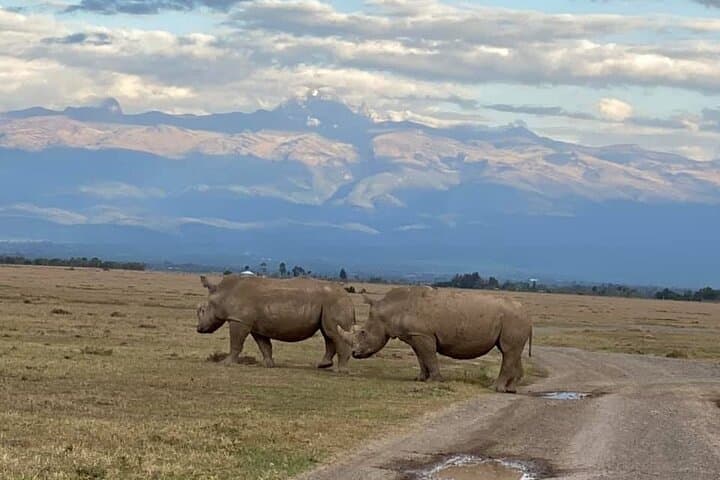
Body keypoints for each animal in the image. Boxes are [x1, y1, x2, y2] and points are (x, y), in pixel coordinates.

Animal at [196, 275, 355, 372]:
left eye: (203, 310)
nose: (199, 329)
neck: (223, 293)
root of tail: (347, 296)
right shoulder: (255, 326)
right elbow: (264, 345)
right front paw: (269, 365)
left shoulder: (239, 320)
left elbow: (236, 342)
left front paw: (226, 363)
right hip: (329, 303)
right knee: (328, 333)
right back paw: (323, 365)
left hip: (334, 301)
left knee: (333, 333)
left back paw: (341, 371)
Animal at [337, 286, 532, 393]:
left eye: (363, 332)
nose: (354, 353)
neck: (391, 310)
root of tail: (527, 313)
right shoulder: (415, 335)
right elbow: (421, 358)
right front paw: (420, 379)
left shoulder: (423, 335)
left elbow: (429, 357)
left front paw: (434, 380)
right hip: (514, 319)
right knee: (512, 352)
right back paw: (510, 390)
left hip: (513, 319)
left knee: (508, 351)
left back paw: (495, 389)